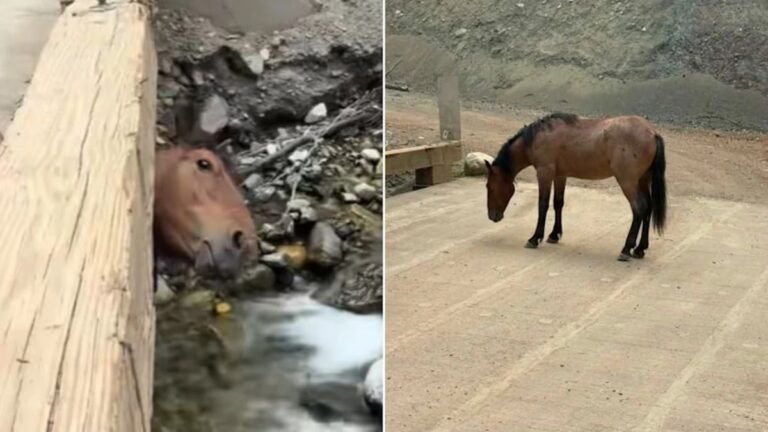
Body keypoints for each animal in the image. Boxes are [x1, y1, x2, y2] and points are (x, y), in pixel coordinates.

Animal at [485, 113, 667, 261]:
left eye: (490, 187)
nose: (492, 216)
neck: (539, 137)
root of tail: (652, 133)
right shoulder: (560, 176)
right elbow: (558, 203)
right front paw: (554, 235)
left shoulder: (545, 173)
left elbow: (542, 205)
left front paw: (535, 238)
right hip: (642, 180)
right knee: (648, 208)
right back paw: (640, 249)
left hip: (628, 182)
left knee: (639, 208)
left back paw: (626, 249)